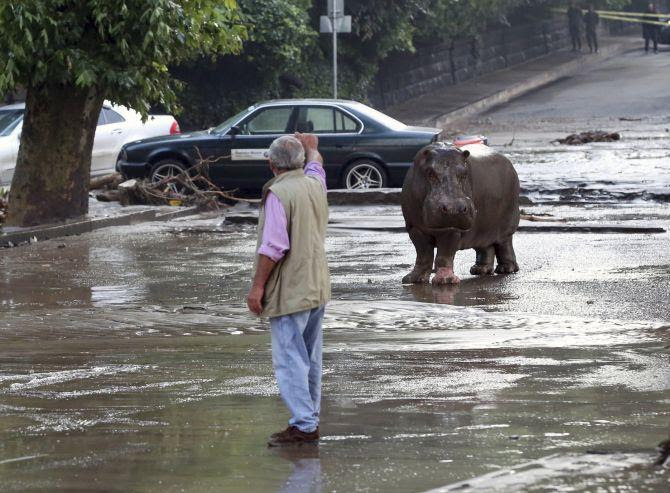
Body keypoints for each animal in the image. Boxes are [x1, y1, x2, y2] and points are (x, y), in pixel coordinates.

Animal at [401, 142, 520, 285]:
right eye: (429, 172)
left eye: (464, 173)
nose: (454, 208)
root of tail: (508, 162)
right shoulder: (415, 228)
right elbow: (423, 254)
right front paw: (413, 279)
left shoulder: (452, 229)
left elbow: (444, 255)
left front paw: (445, 281)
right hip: (482, 229)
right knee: (486, 247)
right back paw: (479, 270)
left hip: (506, 227)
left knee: (505, 245)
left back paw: (506, 269)